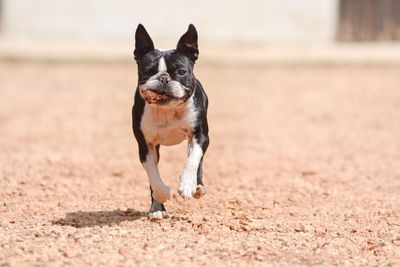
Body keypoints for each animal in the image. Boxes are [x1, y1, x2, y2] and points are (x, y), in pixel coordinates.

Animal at [133, 23, 211, 220]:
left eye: (181, 72)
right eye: (147, 72)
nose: (163, 78)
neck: (168, 109)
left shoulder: (200, 135)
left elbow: (193, 159)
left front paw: (187, 184)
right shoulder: (146, 145)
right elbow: (153, 175)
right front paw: (161, 197)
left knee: (198, 160)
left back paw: (198, 186)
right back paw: (156, 207)